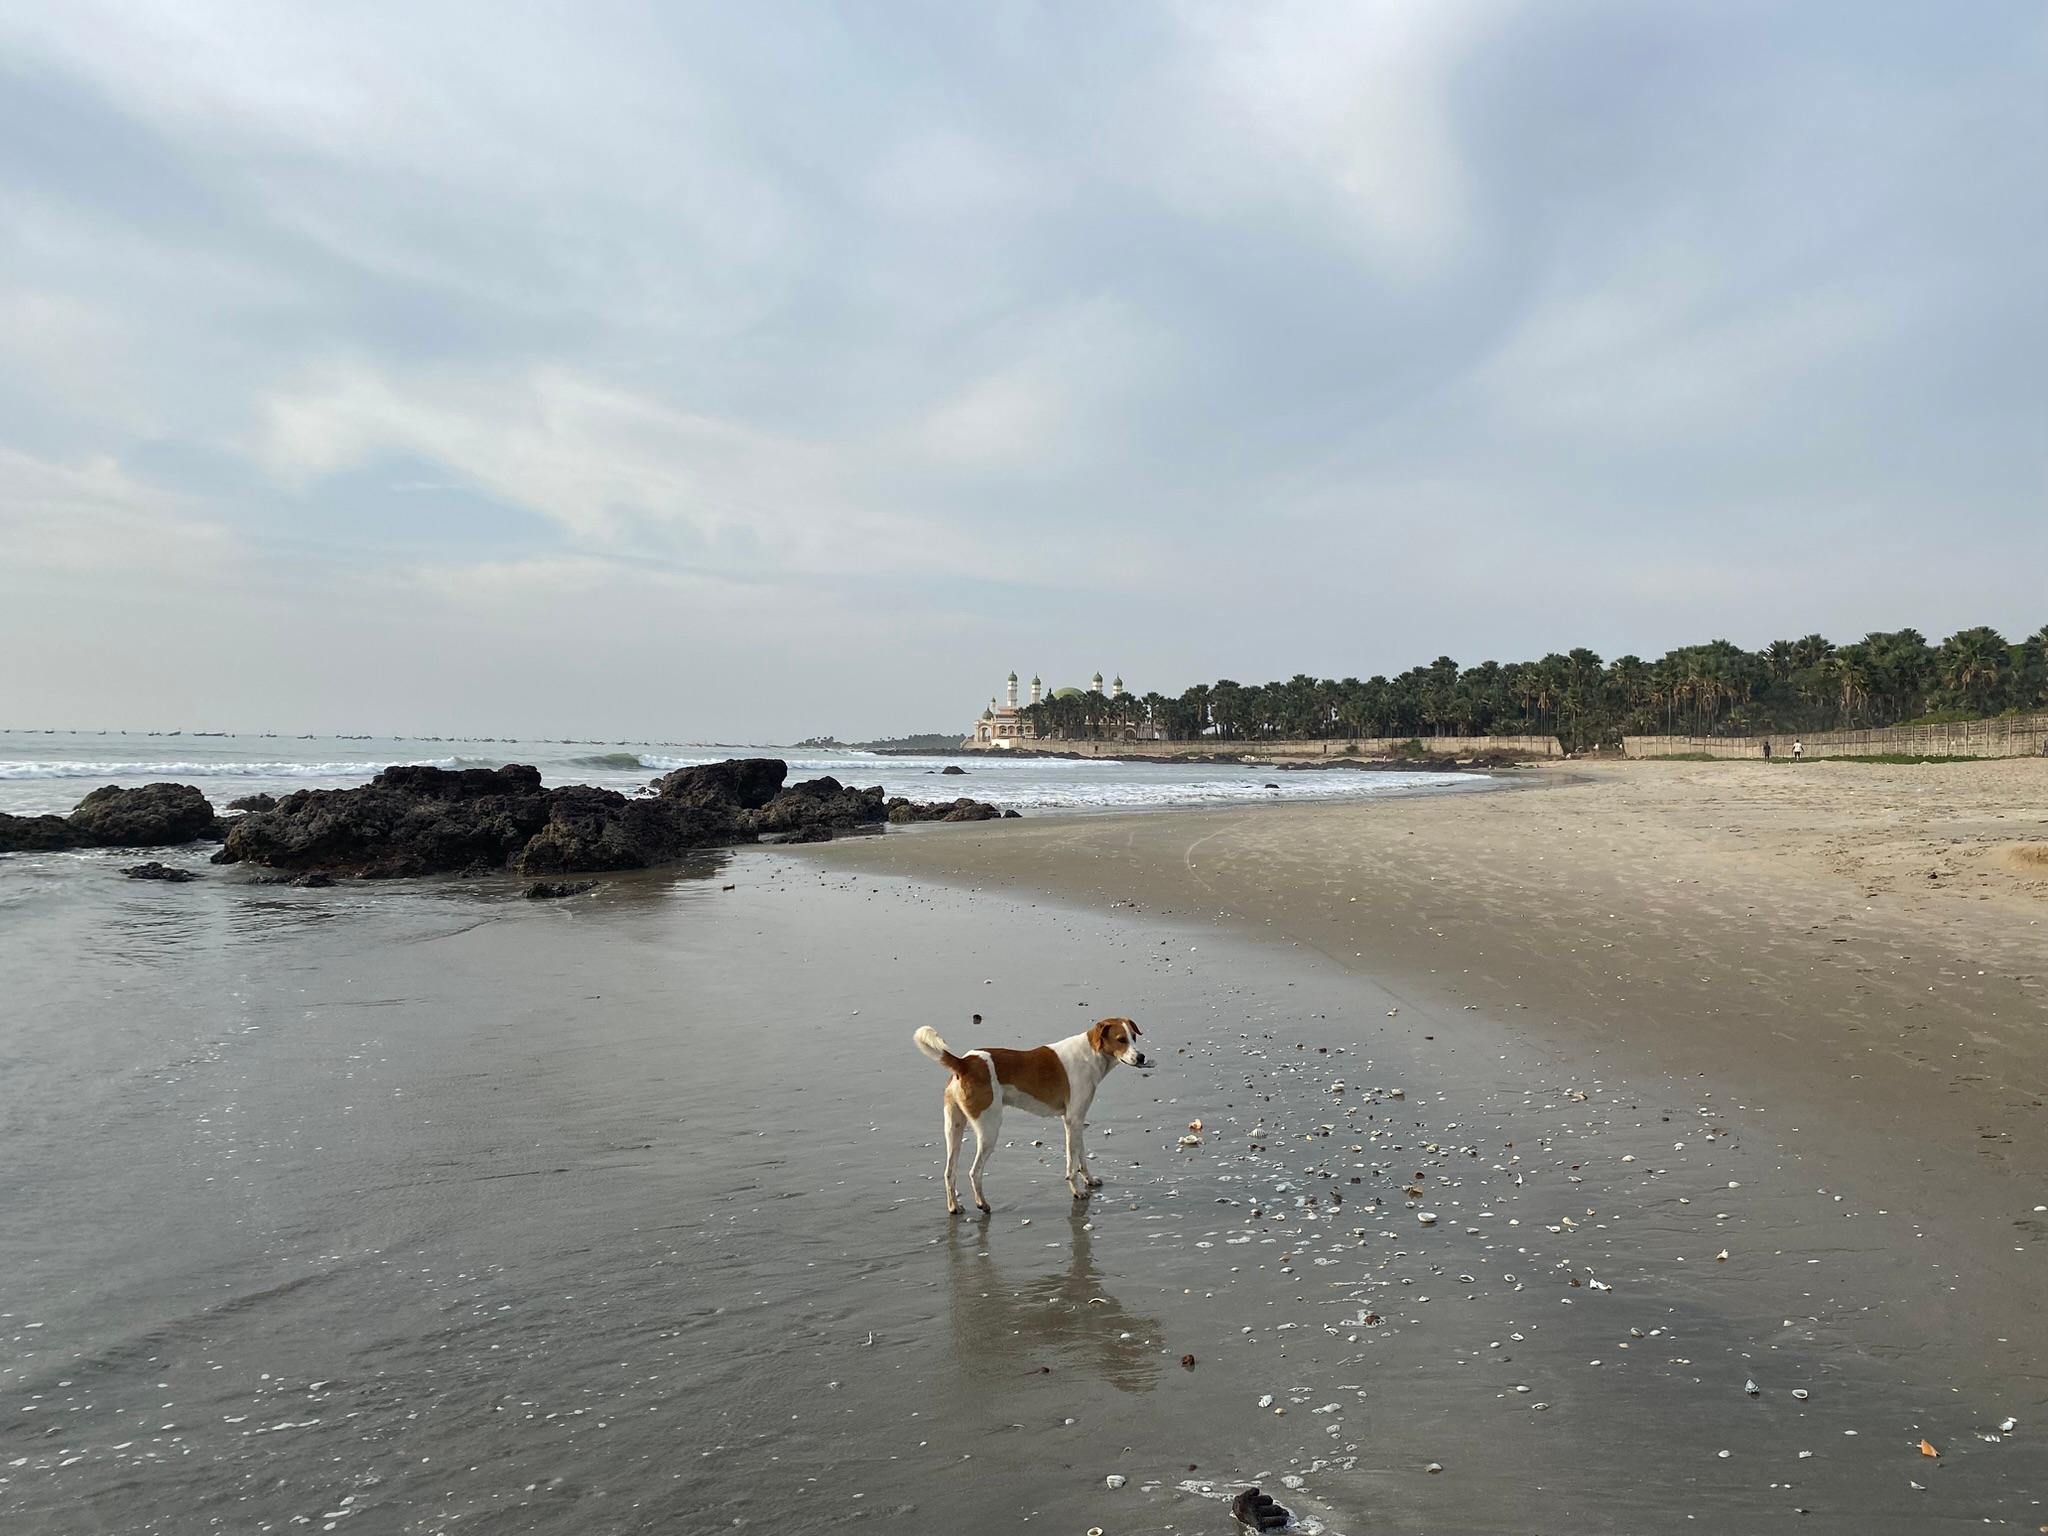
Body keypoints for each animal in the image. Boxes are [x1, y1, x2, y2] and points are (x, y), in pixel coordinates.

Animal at [917, 1015, 1155, 1220]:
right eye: (1121, 1039)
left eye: (1134, 1037)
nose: (1141, 1057)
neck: (1090, 1054)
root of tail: (964, 1063)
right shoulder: (1072, 1121)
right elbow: (1072, 1165)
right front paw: (1077, 1191)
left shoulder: (1078, 1120)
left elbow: (1082, 1157)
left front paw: (1090, 1180)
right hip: (988, 1130)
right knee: (974, 1172)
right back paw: (982, 1204)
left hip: (954, 1128)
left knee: (949, 1172)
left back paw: (954, 1207)